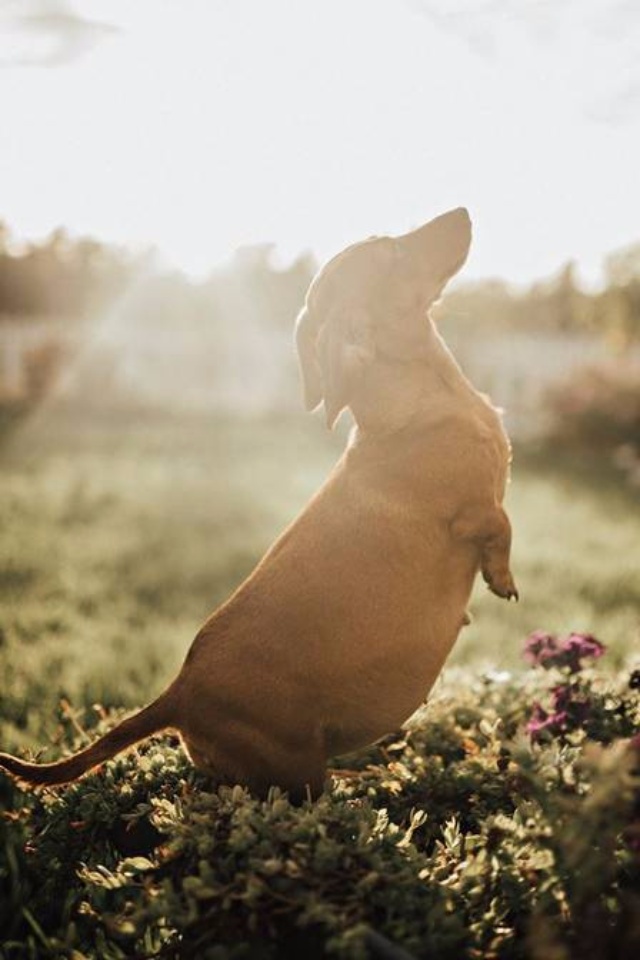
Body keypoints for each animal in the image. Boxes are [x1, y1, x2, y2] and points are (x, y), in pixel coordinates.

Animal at [0, 210, 516, 804]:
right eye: (391, 251)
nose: (462, 212)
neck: (426, 402)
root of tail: (179, 692)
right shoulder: (475, 510)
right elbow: (501, 527)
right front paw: (502, 580)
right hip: (296, 769)